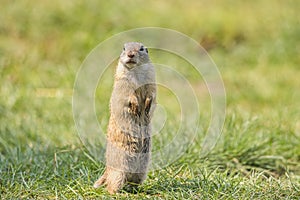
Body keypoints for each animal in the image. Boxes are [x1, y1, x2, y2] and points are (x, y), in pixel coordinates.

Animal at [94, 41, 157, 193]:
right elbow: (128, 95)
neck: (136, 71)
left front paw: (146, 106)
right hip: (119, 172)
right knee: (111, 187)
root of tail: (107, 170)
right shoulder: (123, 82)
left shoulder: (151, 79)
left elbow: (151, 93)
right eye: (124, 48)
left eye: (141, 48)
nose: (130, 54)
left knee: (133, 182)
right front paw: (135, 107)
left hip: (141, 171)